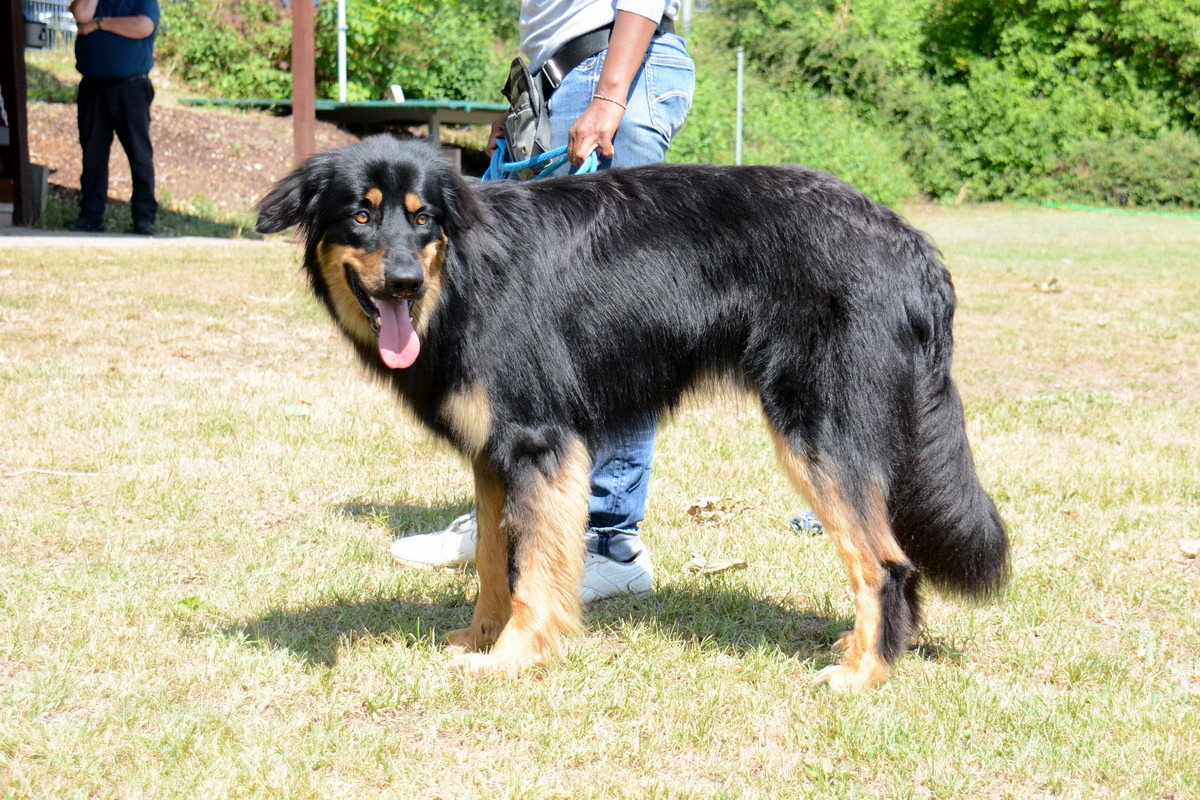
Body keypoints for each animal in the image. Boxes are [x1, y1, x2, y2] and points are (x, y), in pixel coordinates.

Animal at [258, 134, 1008, 690]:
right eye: (360, 215)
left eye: (423, 218)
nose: (405, 282)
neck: (459, 278)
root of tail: (913, 246)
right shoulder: (494, 454)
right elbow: (494, 565)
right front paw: (480, 638)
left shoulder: (541, 443)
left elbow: (533, 570)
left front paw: (513, 657)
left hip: (817, 432)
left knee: (885, 562)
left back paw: (863, 671)